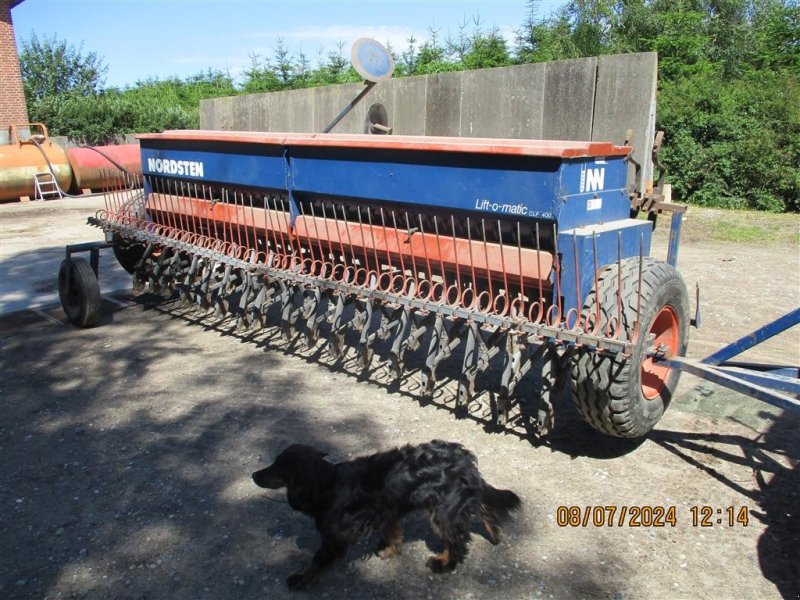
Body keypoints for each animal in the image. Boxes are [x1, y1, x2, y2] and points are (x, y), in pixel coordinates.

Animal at [253, 438, 520, 588]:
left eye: (277, 466)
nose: (254, 475)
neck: (328, 484)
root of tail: (465, 459)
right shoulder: (387, 509)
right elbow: (392, 532)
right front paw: (390, 550)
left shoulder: (335, 537)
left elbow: (317, 561)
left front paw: (301, 580)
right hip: (455, 501)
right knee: (483, 508)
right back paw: (495, 534)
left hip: (444, 510)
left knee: (457, 541)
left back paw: (443, 564)